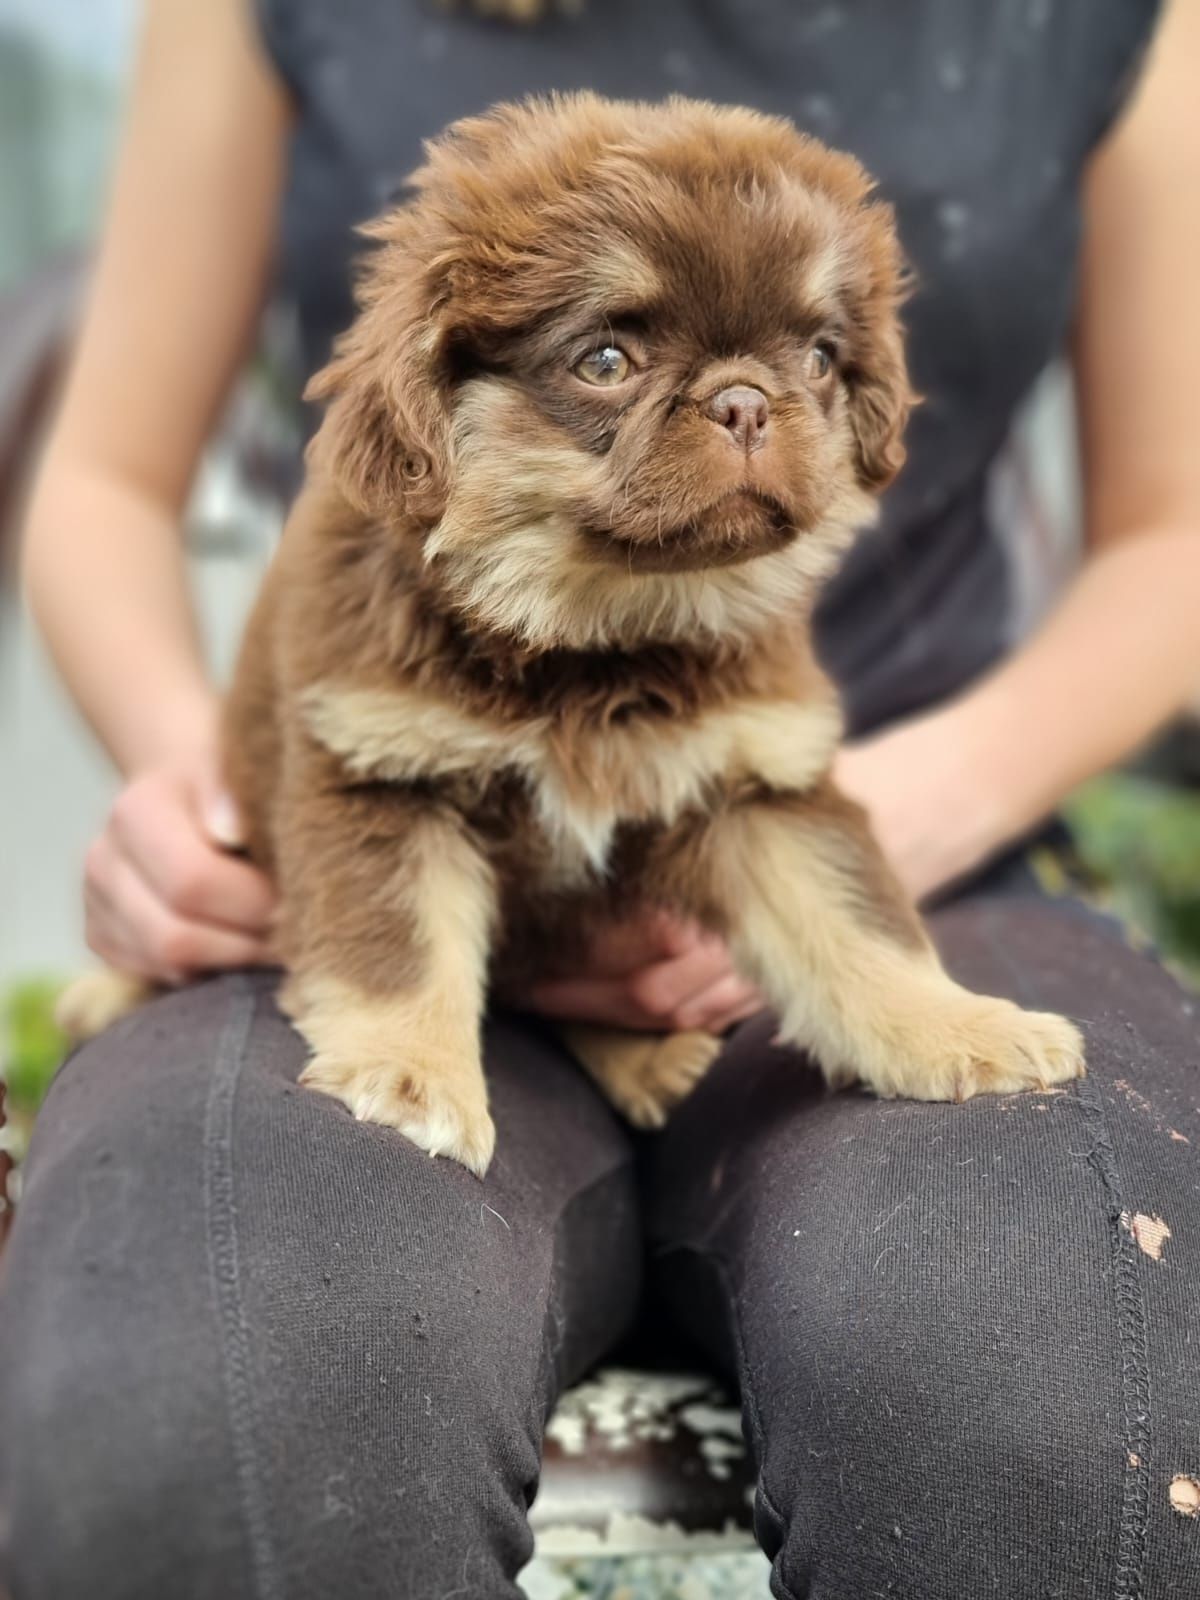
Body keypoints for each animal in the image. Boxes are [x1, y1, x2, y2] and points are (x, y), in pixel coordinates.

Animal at [58, 93, 1088, 1171]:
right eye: (605, 362)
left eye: (817, 358)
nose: (746, 400)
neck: (591, 636)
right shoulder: (382, 779)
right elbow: (401, 951)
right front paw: (409, 1075)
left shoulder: (762, 789)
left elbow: (860, 922)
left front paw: (962, 1028)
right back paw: (104, 990)